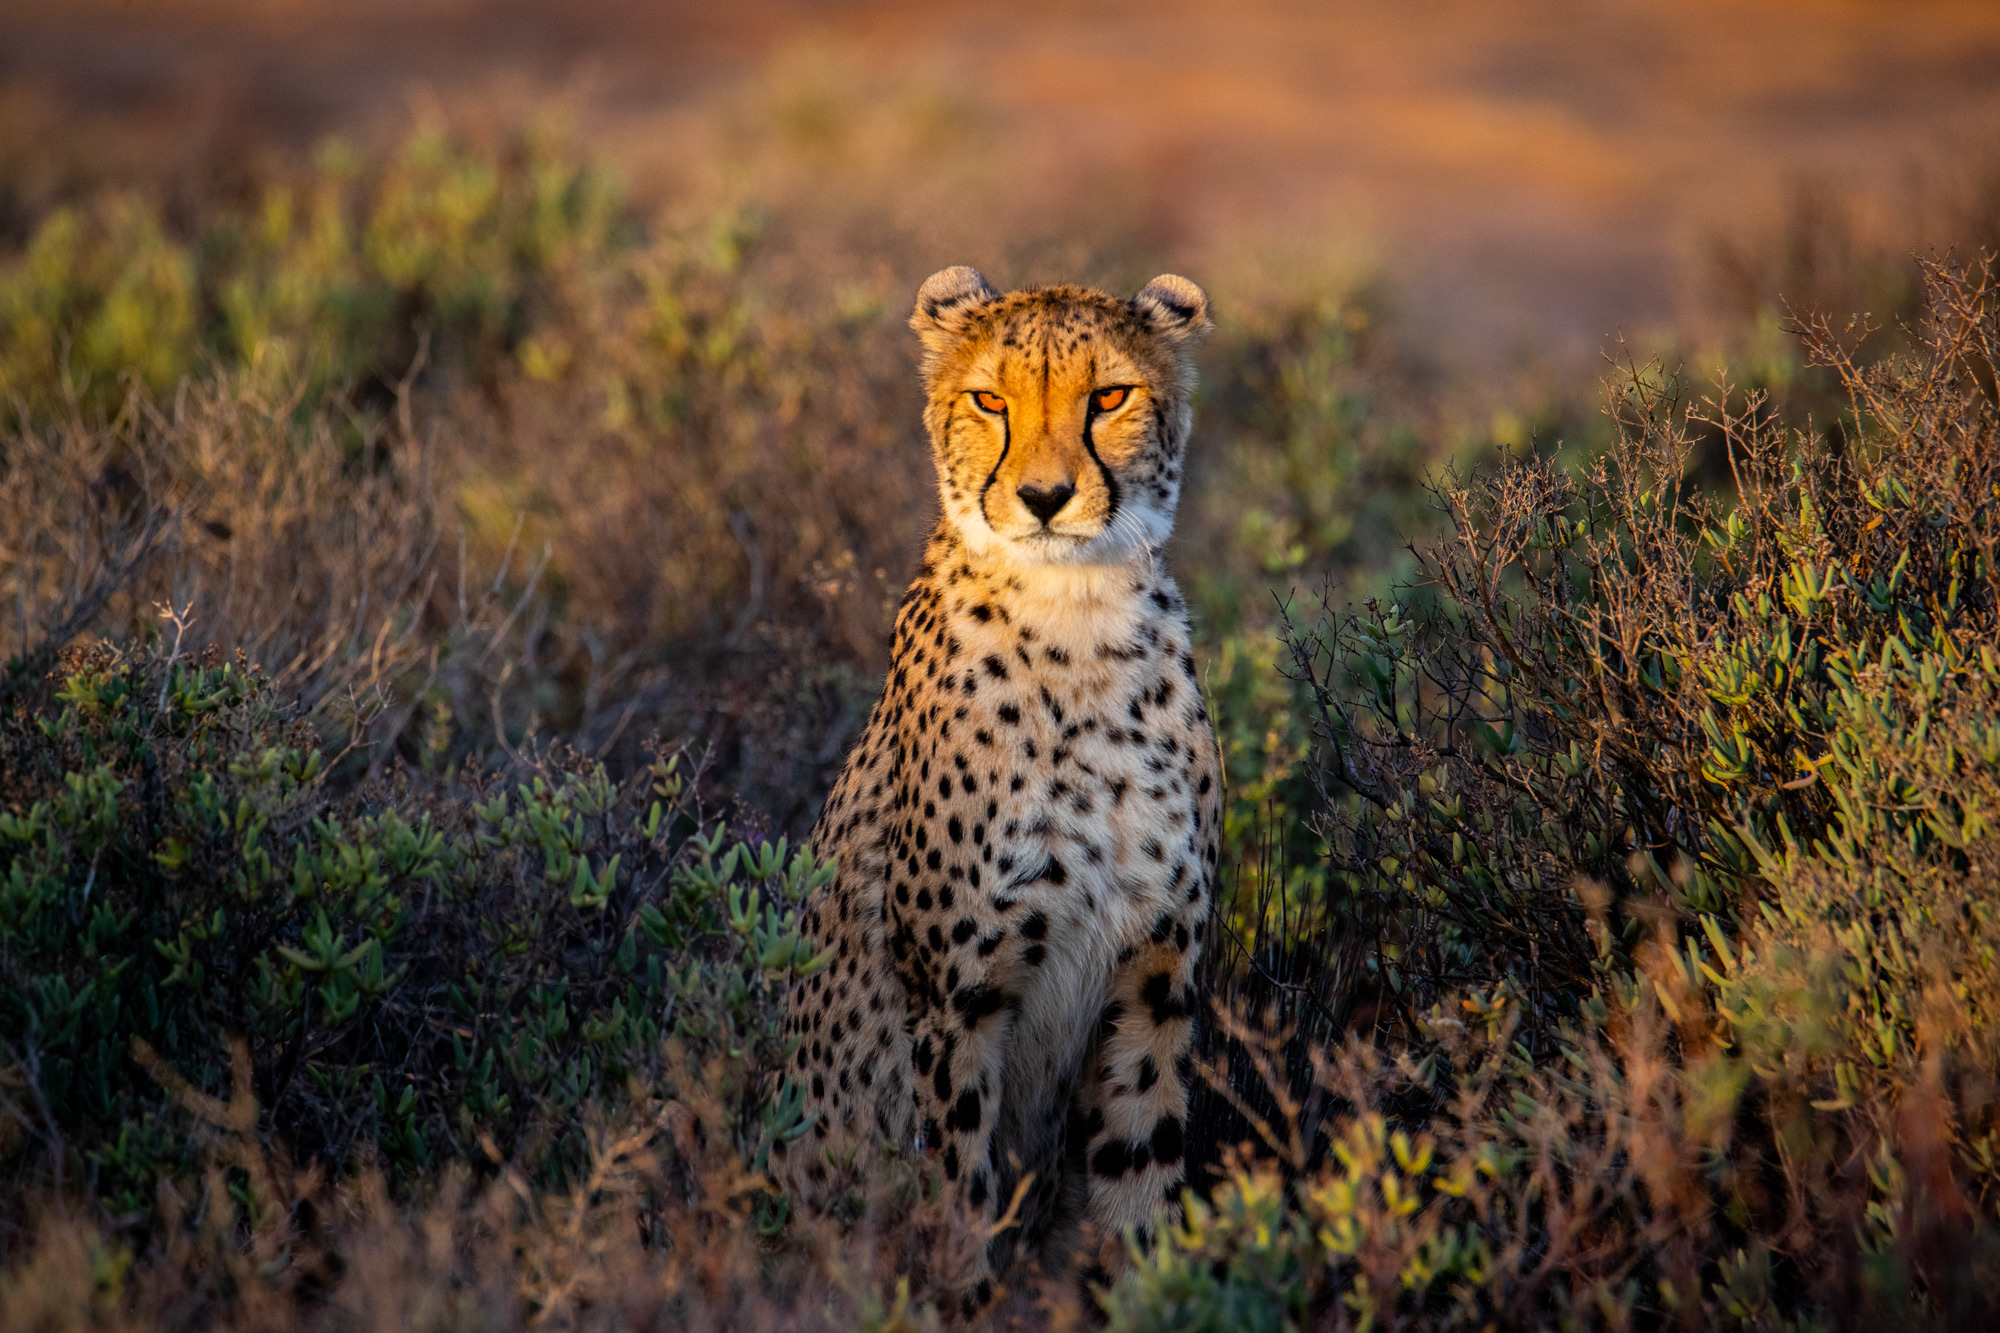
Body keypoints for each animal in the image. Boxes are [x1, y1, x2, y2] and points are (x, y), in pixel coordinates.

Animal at [770, 265, 1221, 1316]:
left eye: (1110, 396)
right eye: (989, 401)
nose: (1046, 496)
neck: (1080, 625)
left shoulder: (1155, 979)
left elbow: (1139, 1177)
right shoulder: (956, 1001)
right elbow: (958, 1198)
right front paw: (962, 1297)